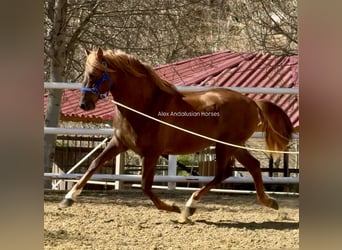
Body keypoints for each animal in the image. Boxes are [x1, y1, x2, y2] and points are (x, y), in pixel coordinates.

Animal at [59, 47, 294, 222]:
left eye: (95, 74)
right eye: (85, 74)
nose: (84, 105)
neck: (145, 105)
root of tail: (252, 101)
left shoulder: (152, 153)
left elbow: (145, 186)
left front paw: (173, 207)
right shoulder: (119, 143)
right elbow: (93, 165)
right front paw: (69, 197)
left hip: (226, 145)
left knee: (223, 174)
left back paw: (189, 207)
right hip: (235, 146)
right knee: (251, 166)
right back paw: (271, 202)